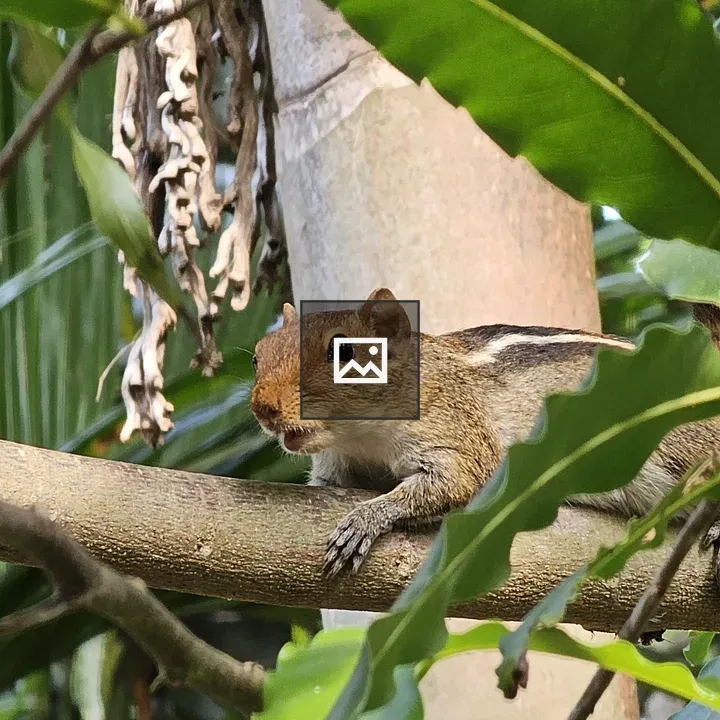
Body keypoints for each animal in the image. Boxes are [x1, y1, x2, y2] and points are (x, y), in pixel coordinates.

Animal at [250, 288, 720, 577]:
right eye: (258, 355)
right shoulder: (337, 464)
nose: (262, 408)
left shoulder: (460, 438)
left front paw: (364, 520)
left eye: (344, 352)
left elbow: (454, 484)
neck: (361, 439)